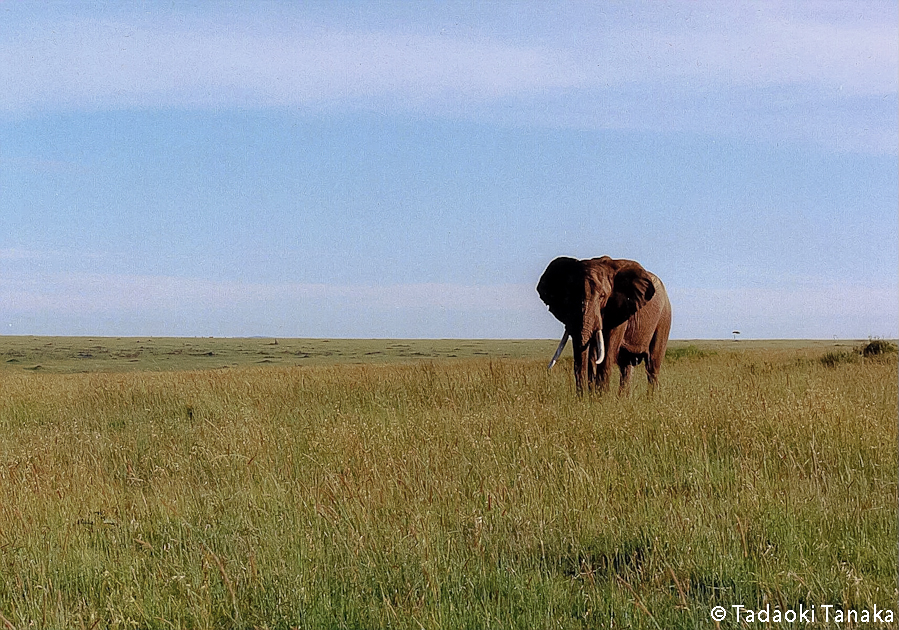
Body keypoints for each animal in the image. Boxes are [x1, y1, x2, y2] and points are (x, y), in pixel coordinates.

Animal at [536, 254, 672, 392]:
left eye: (602, 296)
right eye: (571, 296)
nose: (582, 396)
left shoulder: (620, 311)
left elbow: (607, 350)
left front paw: (601, 397)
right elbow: (592, 354)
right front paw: (592, 395)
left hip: (664, 318)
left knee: (652, 365)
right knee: (626, 366)